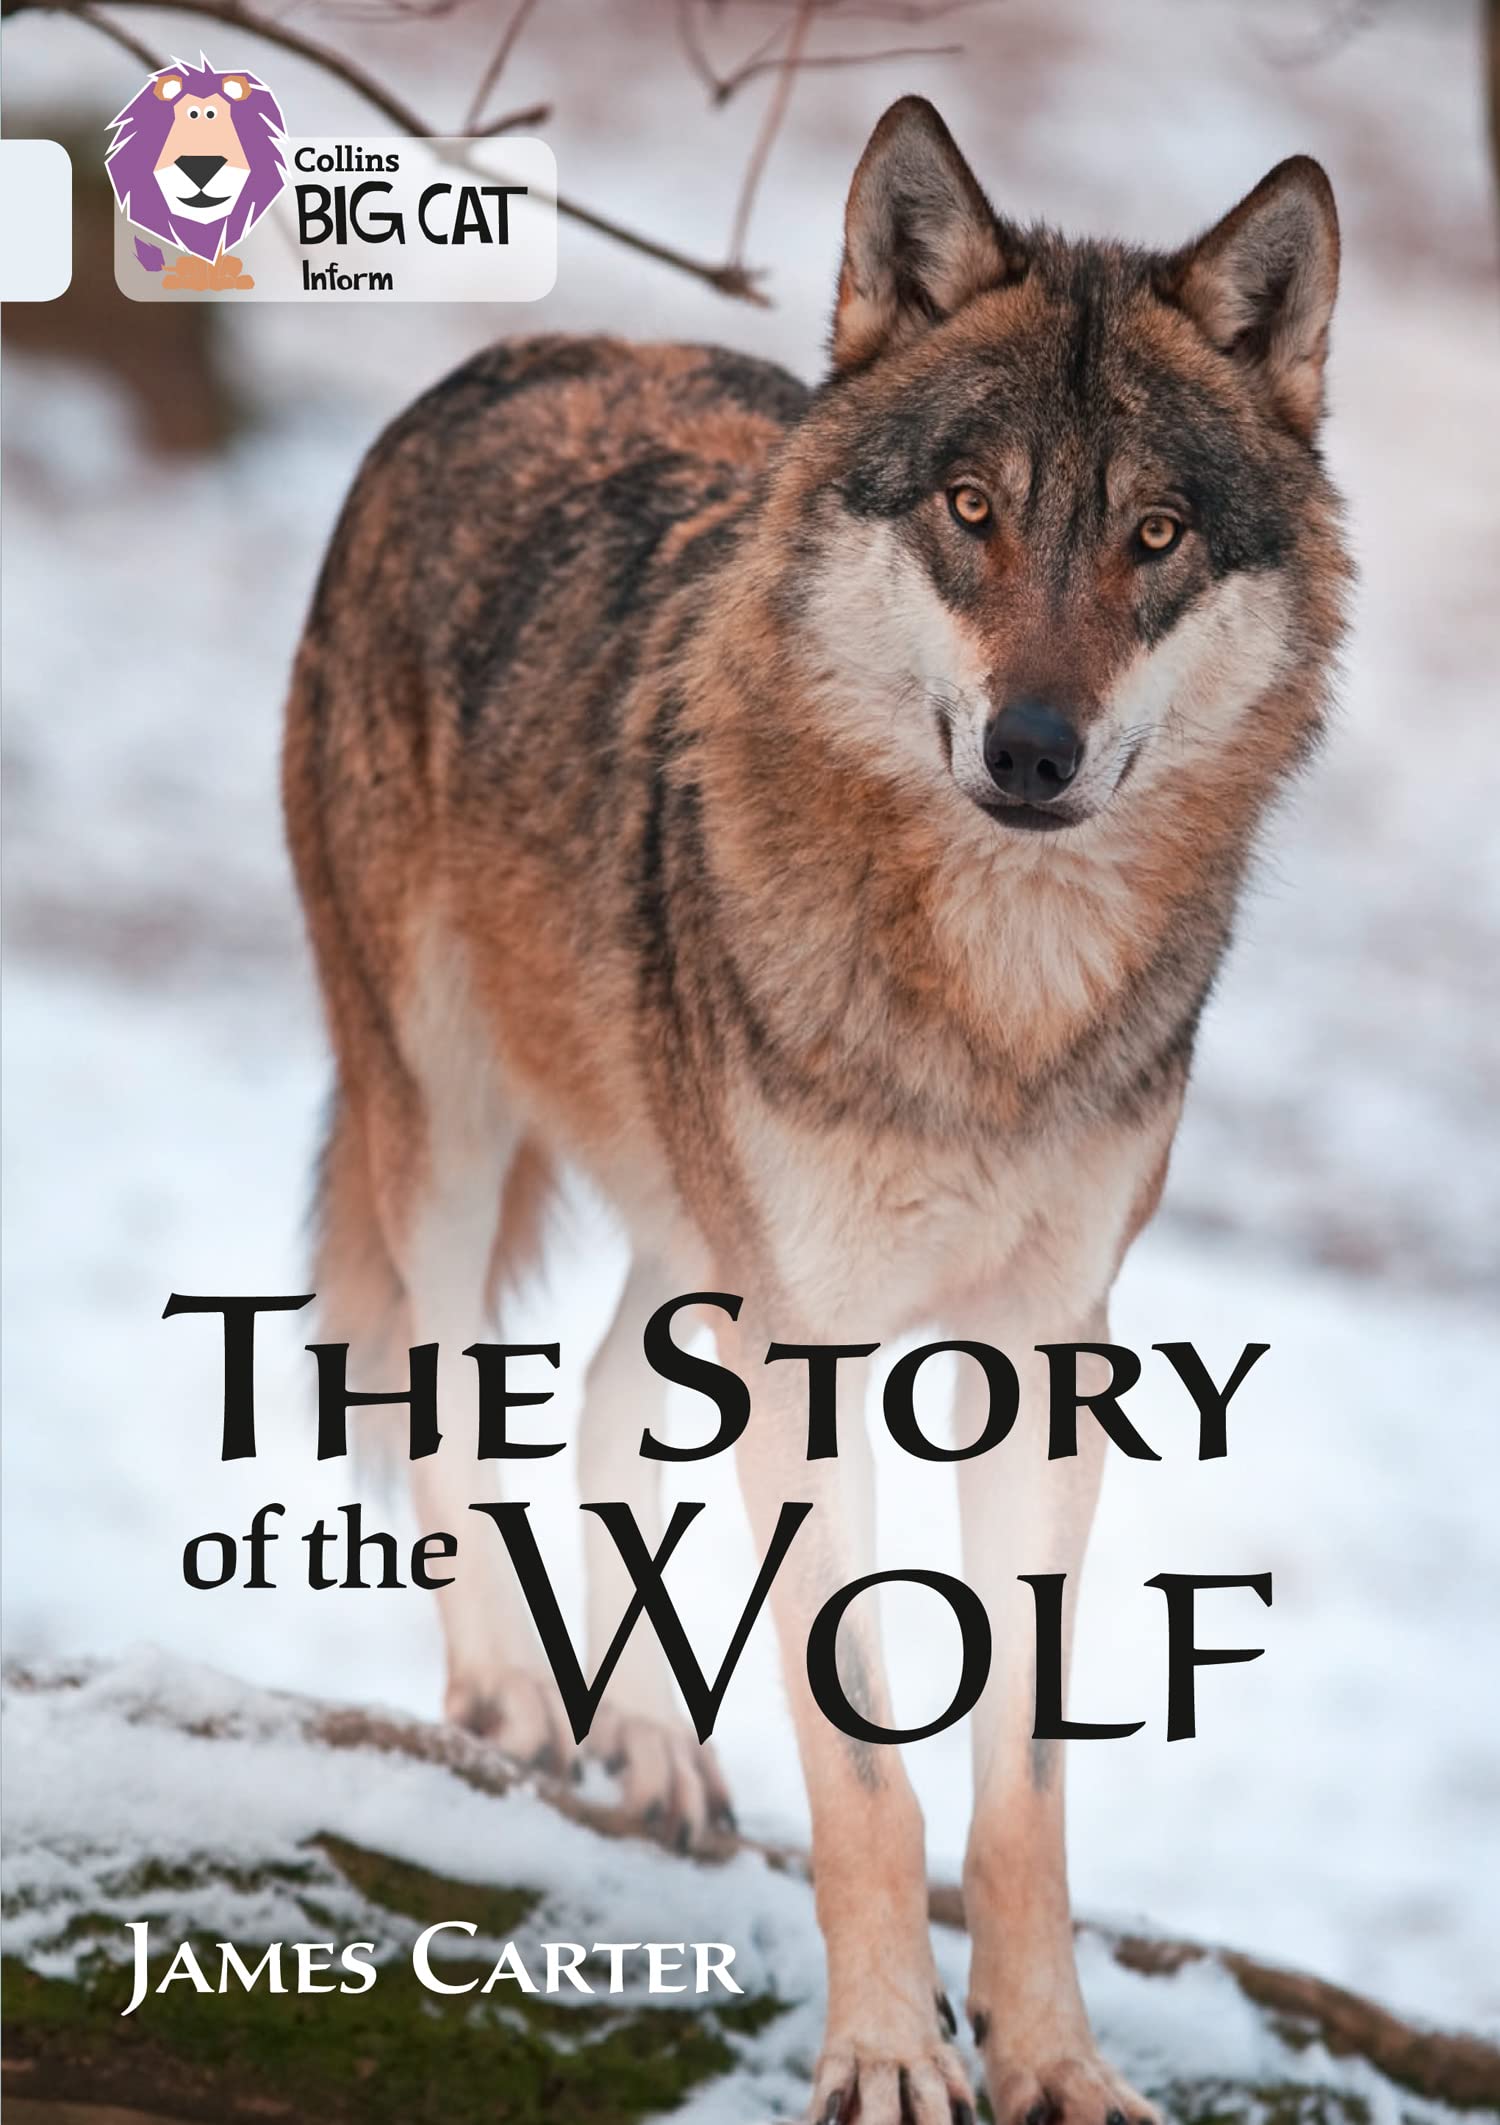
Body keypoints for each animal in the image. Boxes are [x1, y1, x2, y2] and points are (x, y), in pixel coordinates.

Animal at [283, 98, 1348, 2125]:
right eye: (971, 510)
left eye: (1154, 535)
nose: (1034, 750)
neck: (997, 997)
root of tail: (511, 357)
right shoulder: (818, 1344)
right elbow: (865, 1763)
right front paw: (883, 2055)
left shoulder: (1045, 1350)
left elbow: (1022, 1789)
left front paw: (1055, 2060)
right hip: (450, 1126)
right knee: (448, 1390)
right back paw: (511, 1700)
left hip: (690, 1227)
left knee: (602, 1415)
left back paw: (645, 1742)